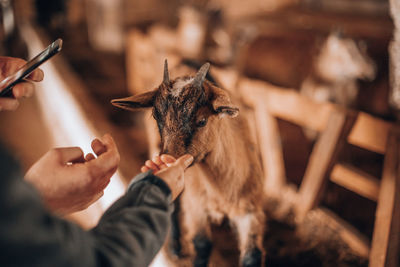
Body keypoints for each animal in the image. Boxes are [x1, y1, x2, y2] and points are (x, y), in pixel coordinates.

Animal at [111, 61, 266, 267]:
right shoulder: (195, 205)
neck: (220, 193)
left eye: (202, 121)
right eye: (156, 117)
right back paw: (175, 248)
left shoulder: (250, 210)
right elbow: (202, 244)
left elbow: (252, 256)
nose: (167, 158)